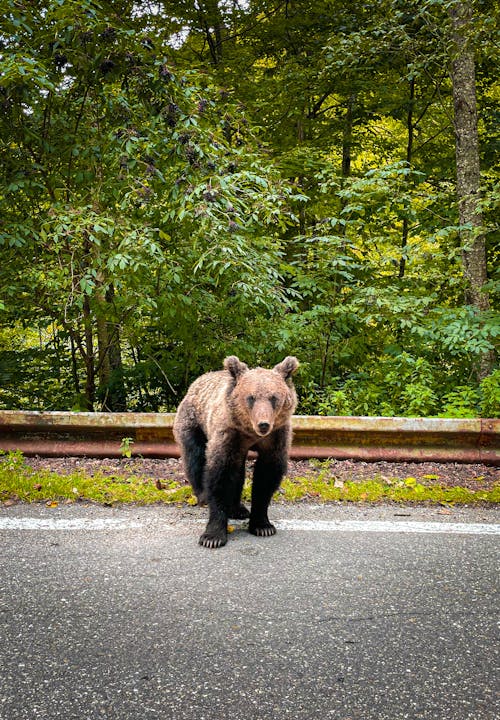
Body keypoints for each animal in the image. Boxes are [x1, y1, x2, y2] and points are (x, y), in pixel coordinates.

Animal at [174, 358, 298, 548]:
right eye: (251, 397)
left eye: (273, 397)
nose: (263, 424)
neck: (250, 434)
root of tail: (197, 381)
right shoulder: (229, 434)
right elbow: (220, 476)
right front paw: (213, 536)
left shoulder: (276, 438)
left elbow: (266, 477)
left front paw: (263, 526)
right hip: (193, 422)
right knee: (195, 457)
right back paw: (203, 497)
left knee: (238, 471)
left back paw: (238, 509)